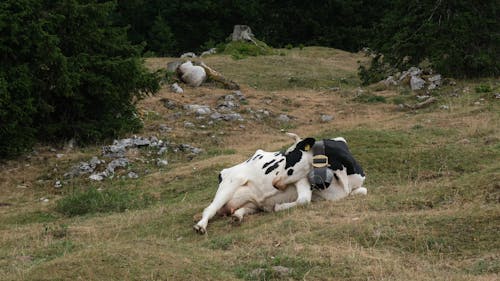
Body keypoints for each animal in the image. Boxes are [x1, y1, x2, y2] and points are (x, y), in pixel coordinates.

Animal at [193, 132, 366, 233]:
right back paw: (200, 226)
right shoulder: (301, 179)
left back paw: (237, 216)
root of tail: (225, 171)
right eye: (284, 154)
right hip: (230, 183)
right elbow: (304, 199)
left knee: (241, 209)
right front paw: (279, 207)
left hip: (251, 204)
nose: (275, 183)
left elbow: (363, 191)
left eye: (288, 155)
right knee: (209, 209)